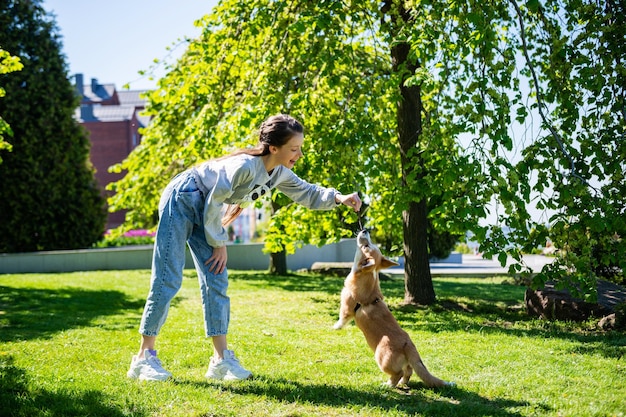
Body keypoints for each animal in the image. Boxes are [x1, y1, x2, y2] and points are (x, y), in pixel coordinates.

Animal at [332, 228, 454, 386]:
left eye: (367, 246)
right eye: (370, 244)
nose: (365, 229)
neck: (367, 276)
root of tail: (408, 345)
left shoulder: (347, 306)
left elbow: (342, 319)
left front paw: (335, 327)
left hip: (381, 358)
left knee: (397, 373)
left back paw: (388, 385)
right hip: (408, 363)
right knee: (408, 371)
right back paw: (402, 383)